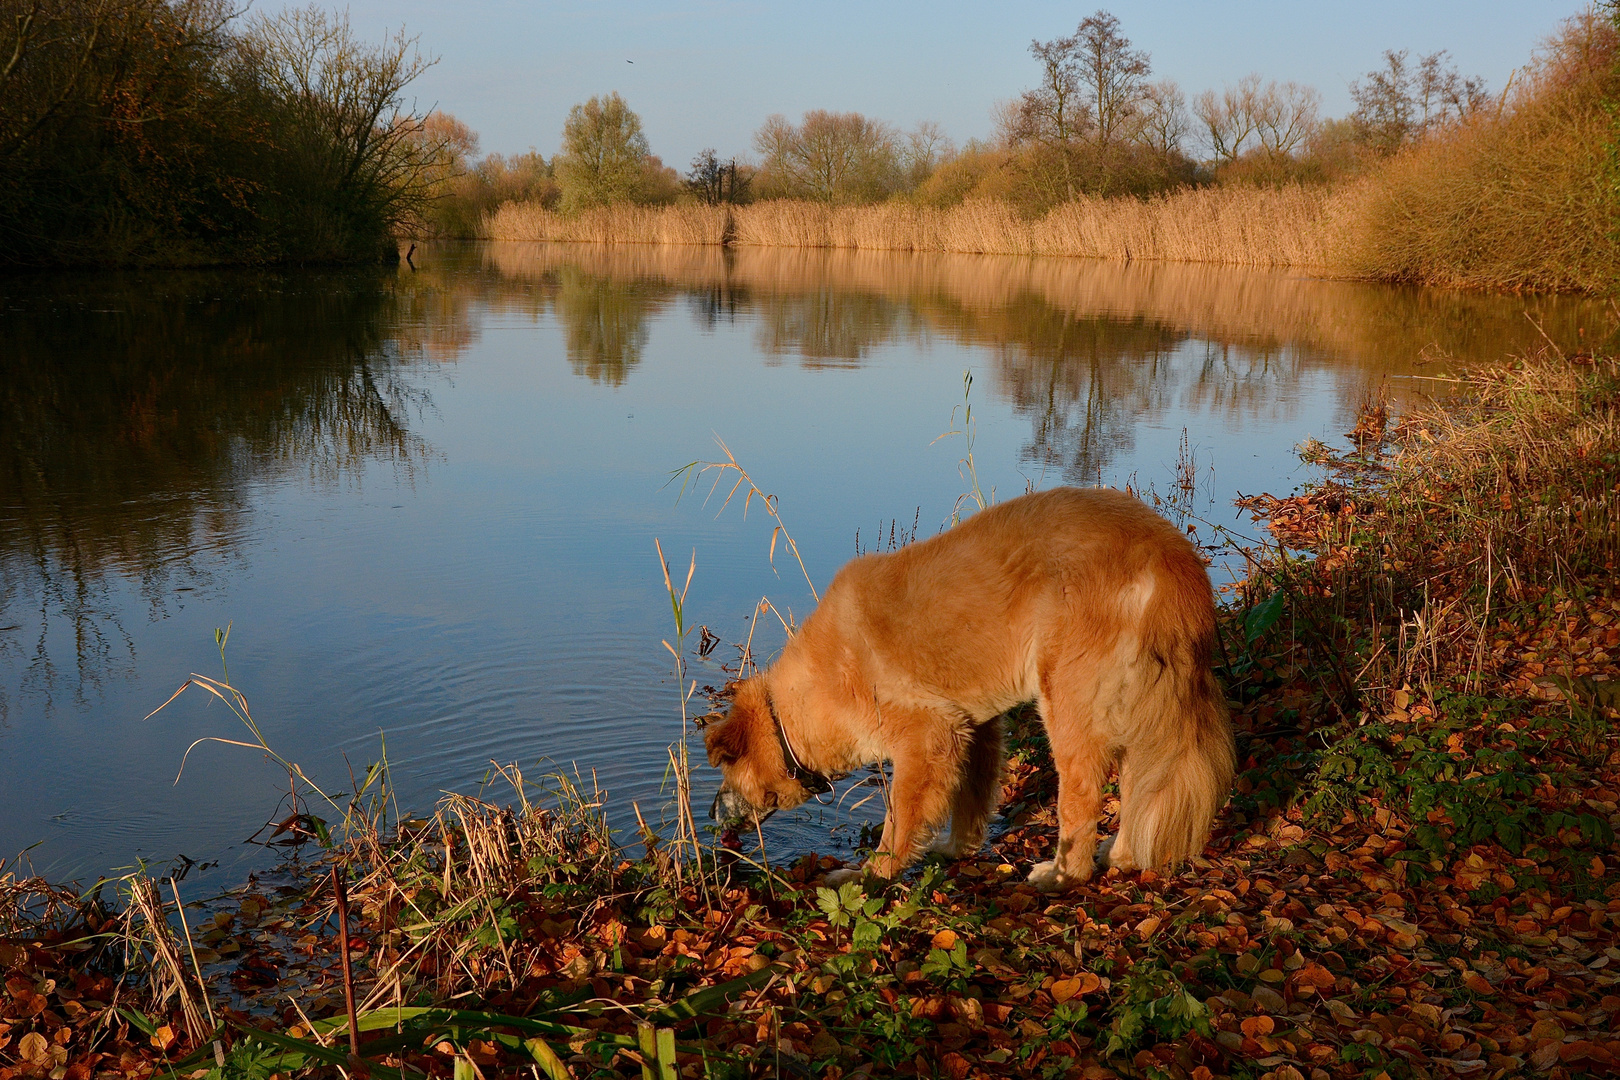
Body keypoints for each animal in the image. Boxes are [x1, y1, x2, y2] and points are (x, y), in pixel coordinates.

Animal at [703, 485, 1231, 893]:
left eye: (725, 767)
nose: (710, 814)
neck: (806, 698)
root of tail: (1169, 556)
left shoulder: (928, 737)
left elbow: (898, 822)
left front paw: (871, 876)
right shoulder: (975, 728)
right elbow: (970, 802)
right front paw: (956, 849)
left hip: (1067, 703)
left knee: (1081, 796)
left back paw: (1063, 875)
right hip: (1137, 705)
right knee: (1137, 784)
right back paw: (1121, 855)